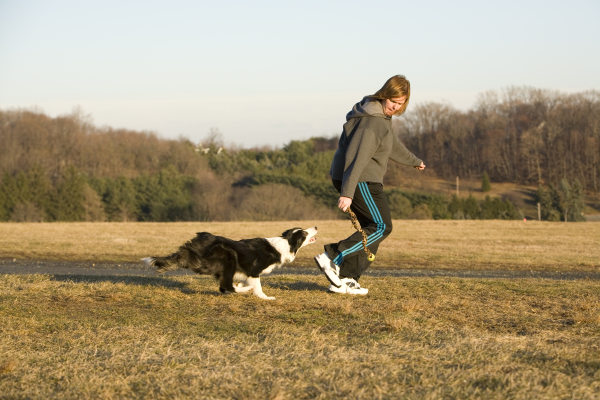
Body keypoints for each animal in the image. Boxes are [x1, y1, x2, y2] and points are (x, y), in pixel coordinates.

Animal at [142, 228, 316, 300]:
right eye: (305, 233)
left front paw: (243, 286)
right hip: (229, 256)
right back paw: (245, 290)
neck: (286, 243)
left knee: (224, 286)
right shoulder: (254, 270)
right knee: (225, 286)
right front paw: (265, 297)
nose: (315, 226)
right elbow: (258, 287)